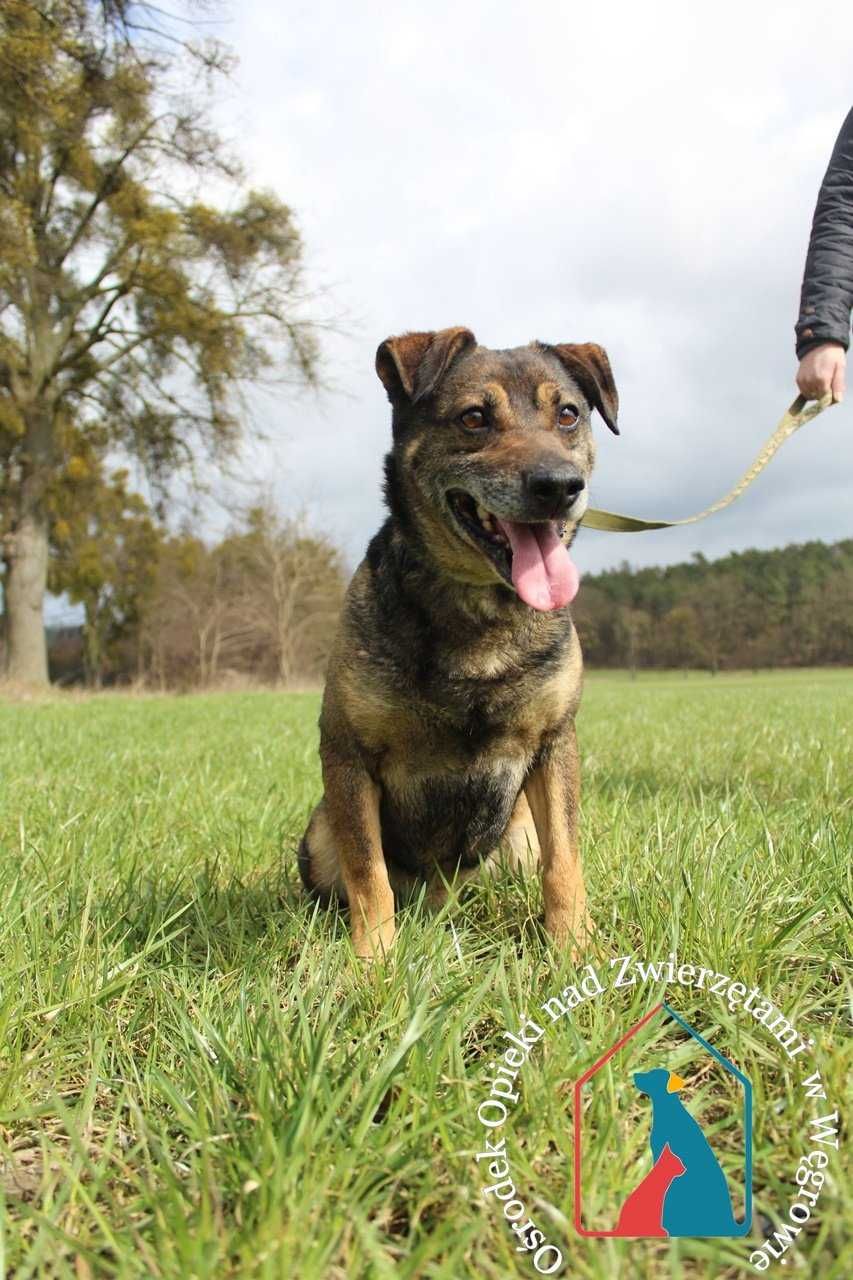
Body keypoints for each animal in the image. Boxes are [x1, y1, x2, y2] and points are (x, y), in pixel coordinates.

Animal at [298, 325, 617, 957]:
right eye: (474, 418)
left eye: (568, 414)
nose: (559, 486)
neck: (480, 613)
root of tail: (442, 895)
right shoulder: (347, 755)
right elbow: (368, 875)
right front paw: (372, 963)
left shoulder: (555, 743)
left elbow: (565, 861)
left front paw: (574, 948)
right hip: (319, 831)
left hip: (517, 833)